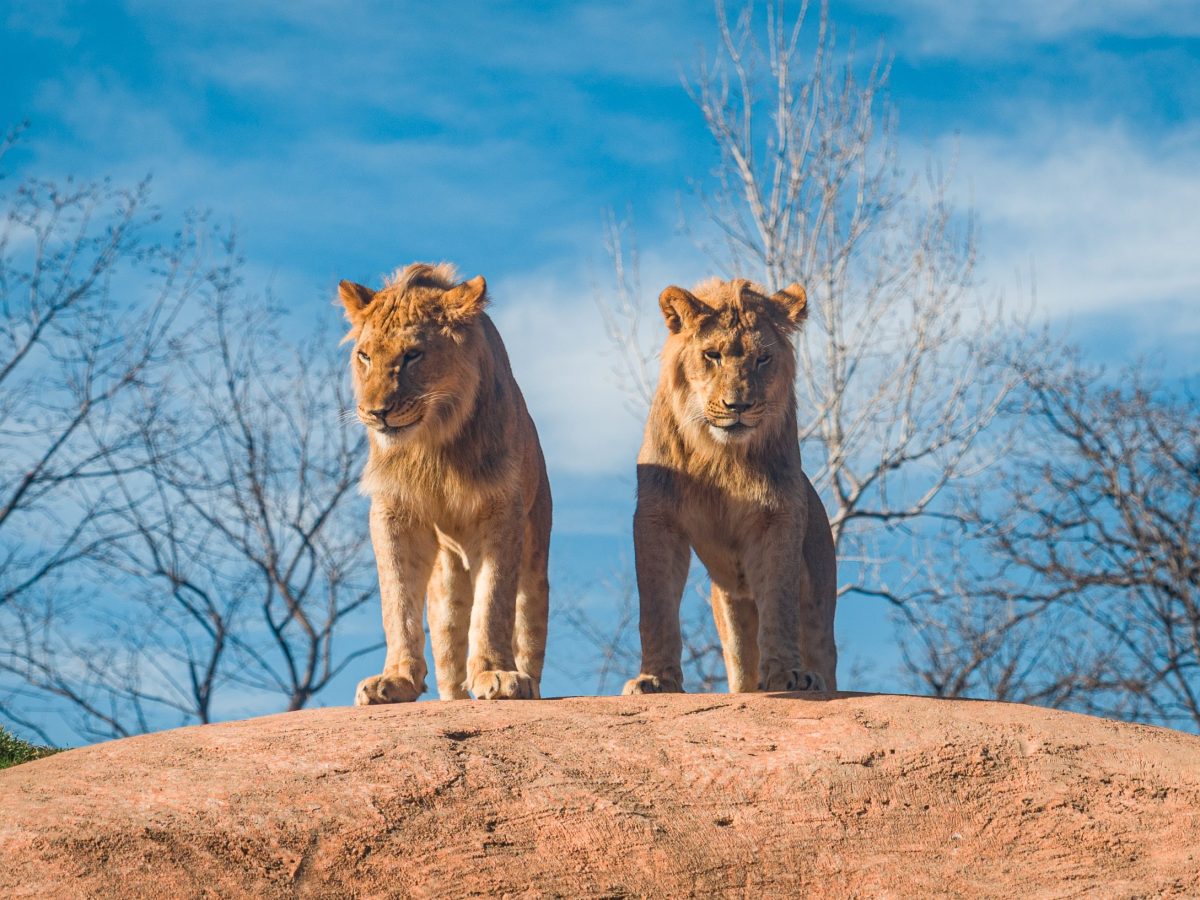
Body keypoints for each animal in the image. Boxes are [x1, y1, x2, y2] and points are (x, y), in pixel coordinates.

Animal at [339, 262, 551, 703]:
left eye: (412, 355)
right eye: (364, 356)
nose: (375, 412)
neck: (431, 445)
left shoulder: (502, 510)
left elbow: (494, 602)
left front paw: (496, 673)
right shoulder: (392, 511)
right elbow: (396, 599)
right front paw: (395, 679)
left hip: (535, 563)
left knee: (526, 628)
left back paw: (528, 683)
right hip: (446, 589)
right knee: (449, 653)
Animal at [622, 277, 837, 695]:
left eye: (762, 359)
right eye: (712, 355)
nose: (739, 405)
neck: (720, 457)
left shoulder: (779, 515)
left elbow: (779, 601)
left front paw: (788, 674)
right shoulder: (657, 517)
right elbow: (656, 605)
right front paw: (655, 679)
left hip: (819, 602)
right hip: (730, 606)